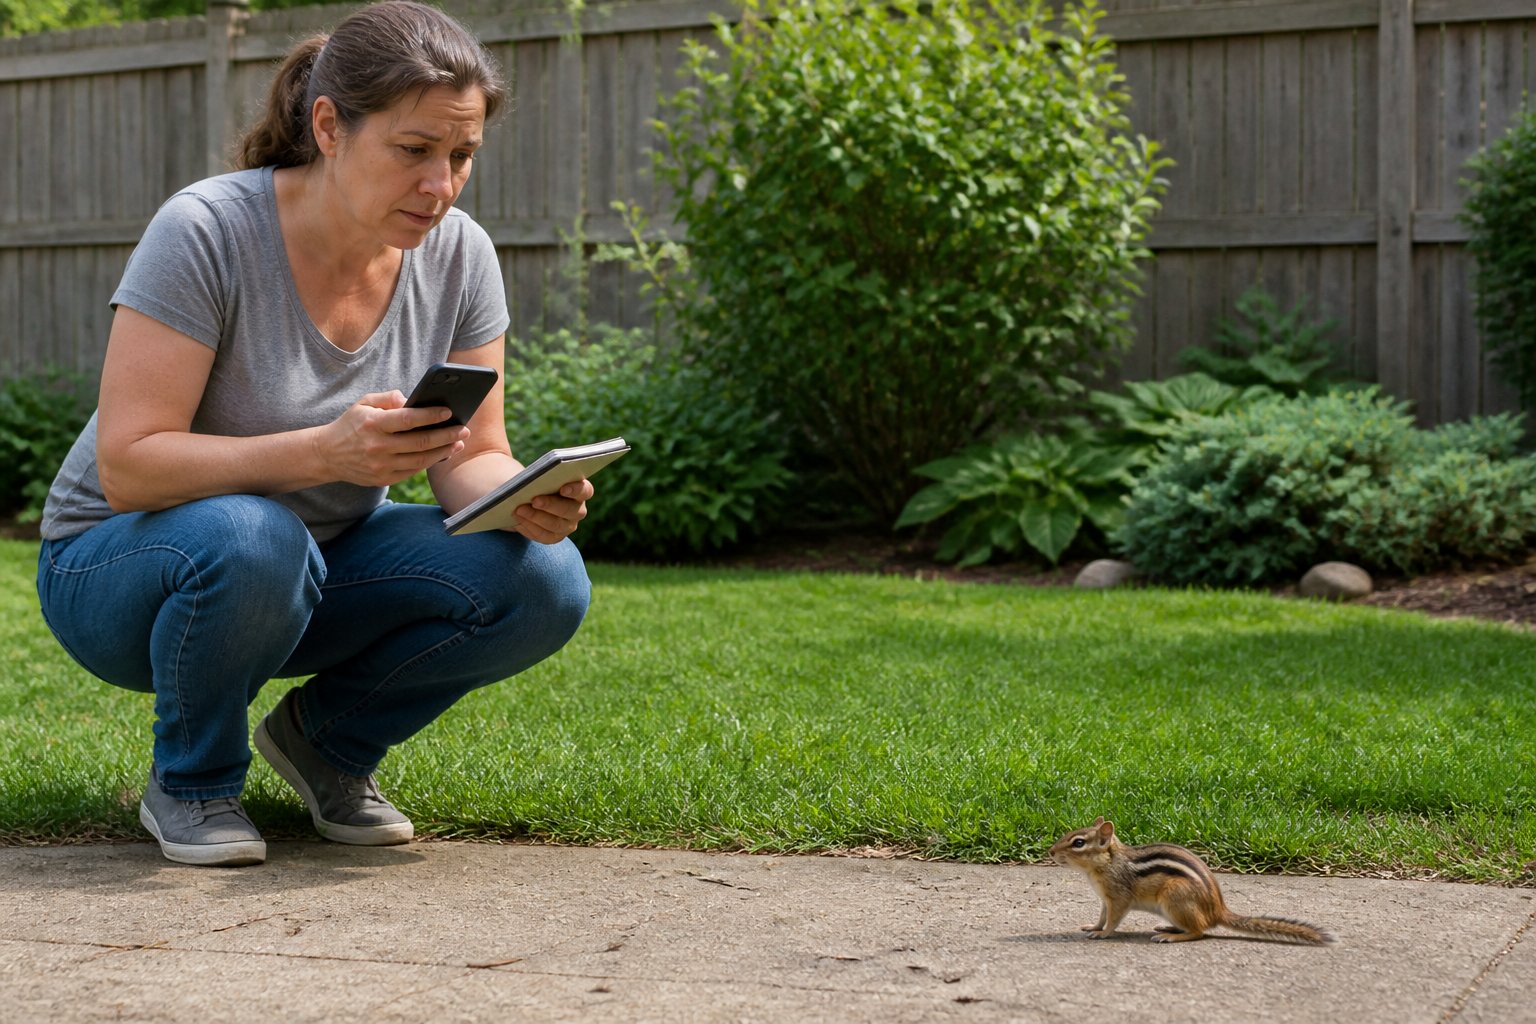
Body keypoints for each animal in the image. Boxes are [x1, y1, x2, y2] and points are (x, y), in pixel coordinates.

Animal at [1049, 817, 1335, 945]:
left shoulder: (1119, 898)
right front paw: (1093, 926)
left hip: (1175, 897)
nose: (1050, 852)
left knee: (1199, 931)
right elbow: (1101, 915)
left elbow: (1114, 920)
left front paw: (1103, 933)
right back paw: (1168, 928)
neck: (1107, 863)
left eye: (1078, 843)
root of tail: (1217, 910)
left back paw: (1171, 937)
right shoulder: (1105, 899)